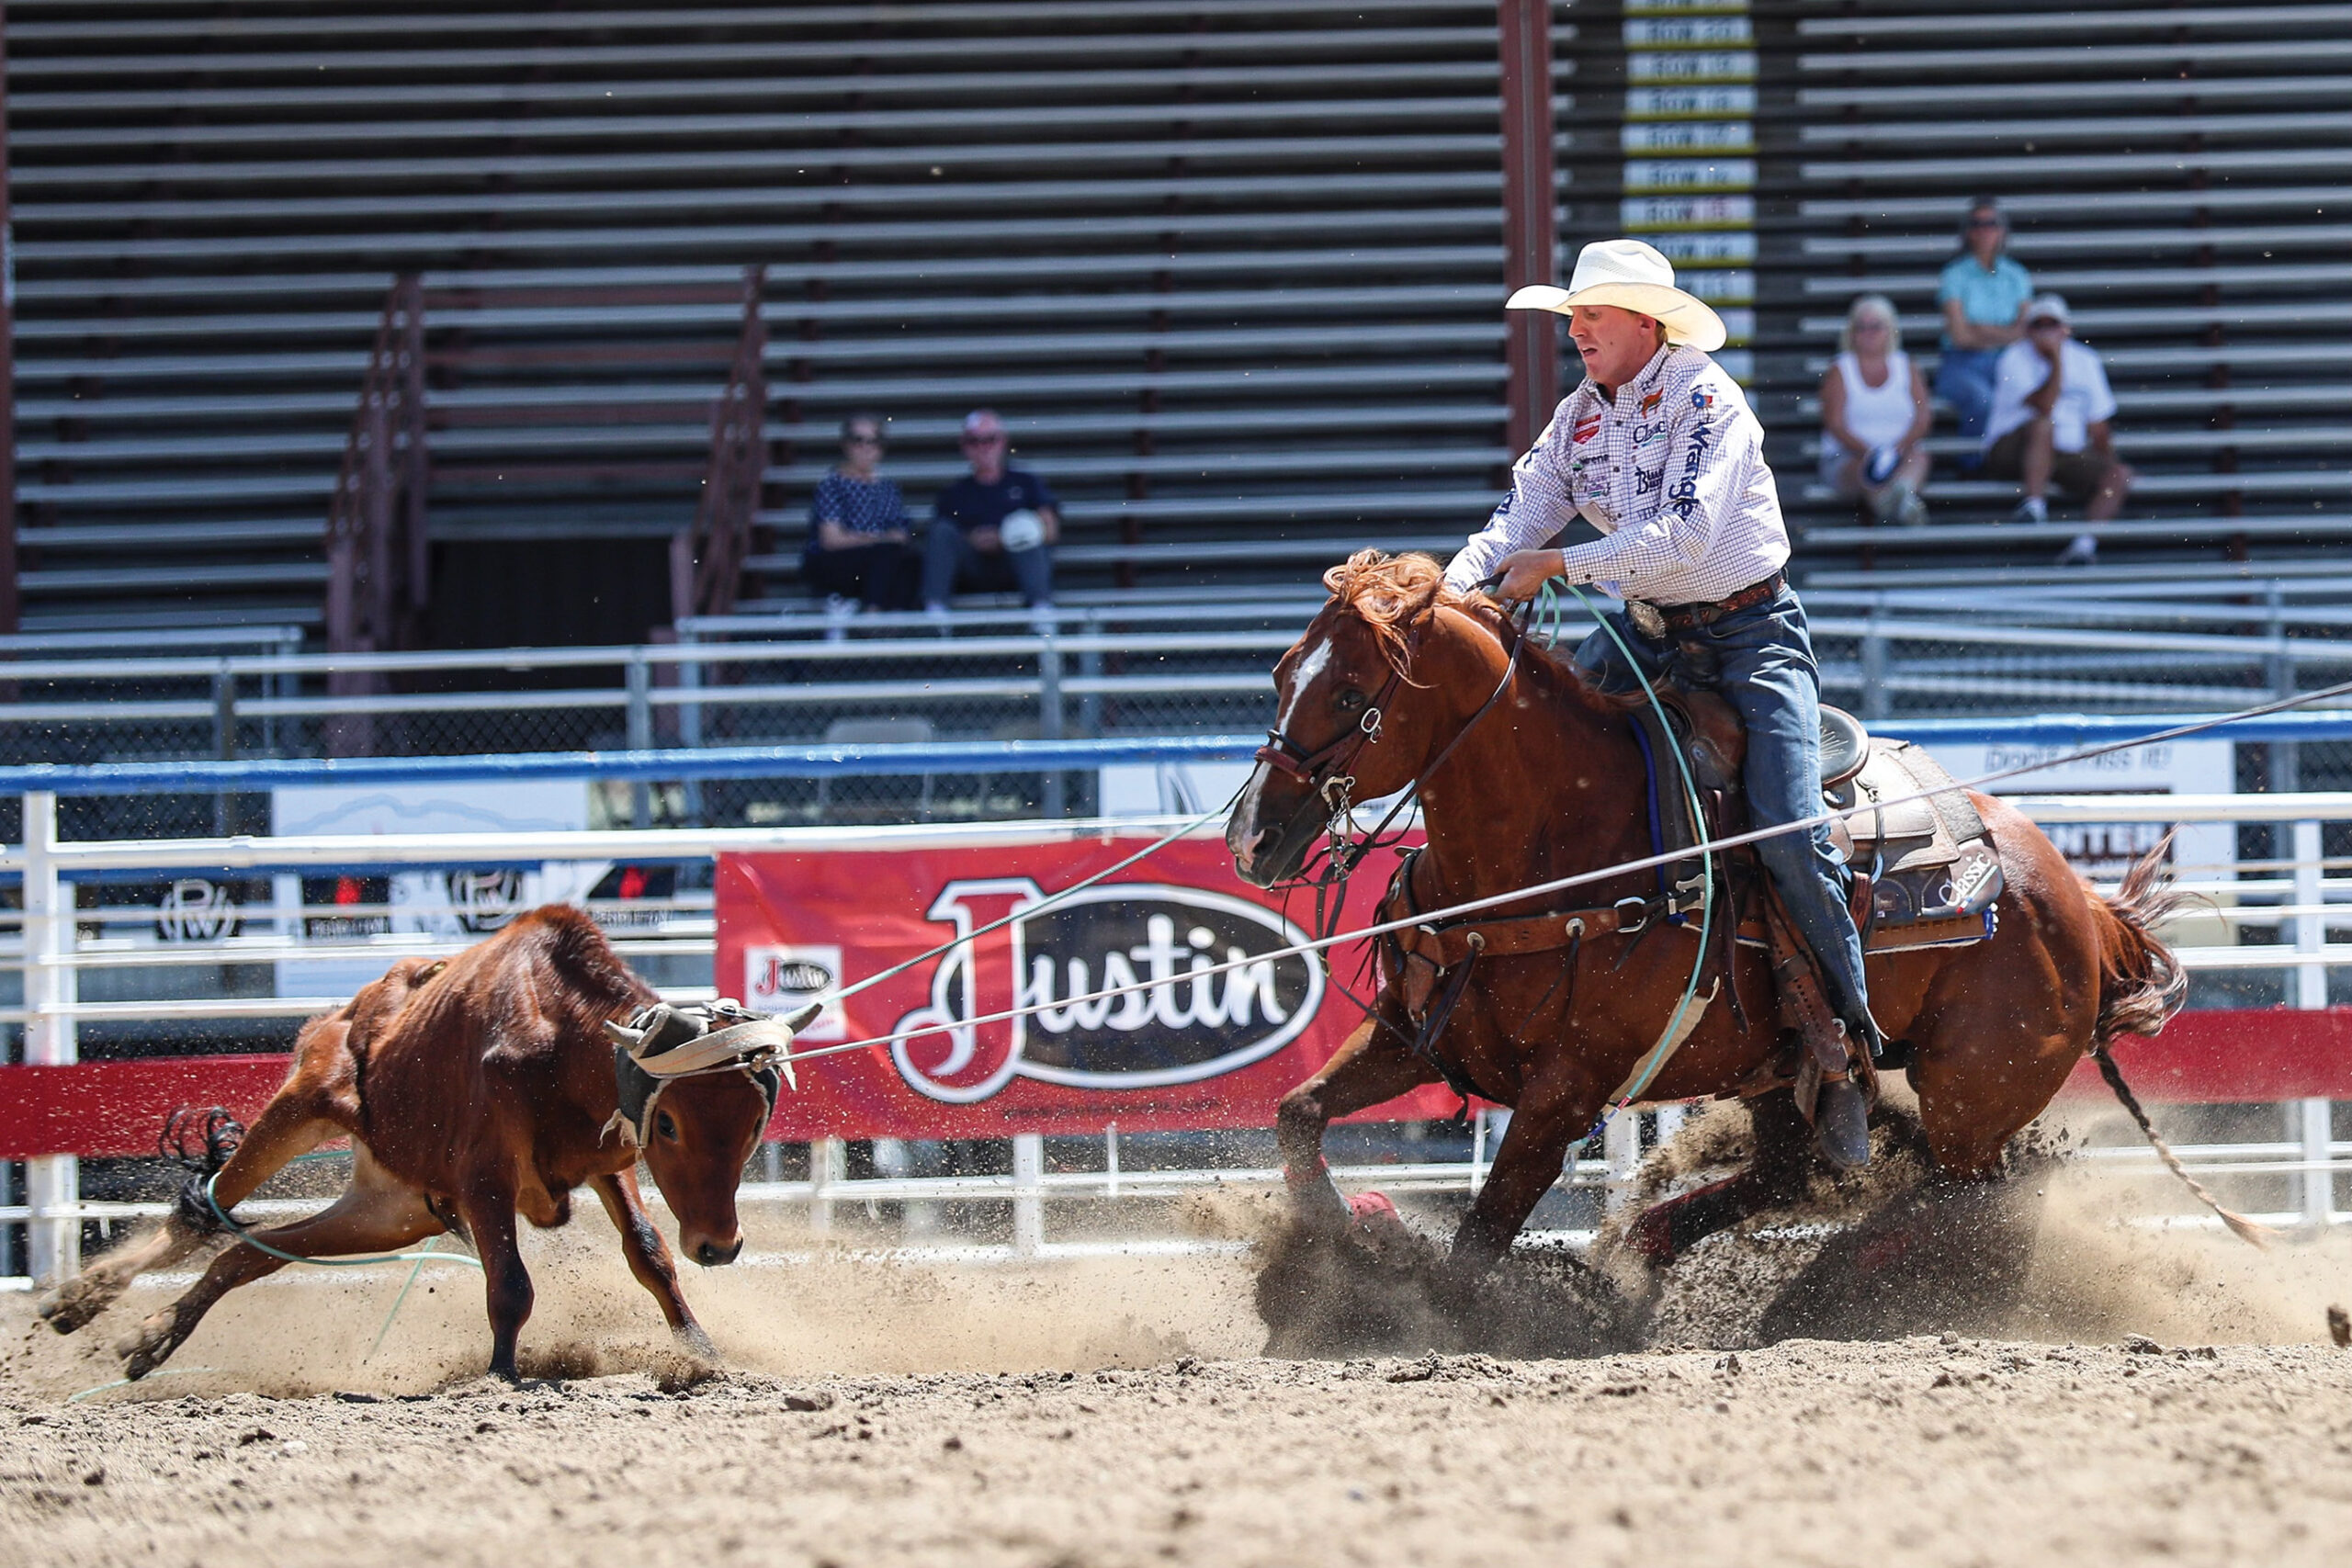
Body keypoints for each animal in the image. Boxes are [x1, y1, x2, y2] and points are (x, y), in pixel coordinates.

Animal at [43, 907, 780, 1382]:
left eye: (752, 1124)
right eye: (669, 1123)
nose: (719, 1245)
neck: (561, 1030)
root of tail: (355, 1006)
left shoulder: (606, 1160)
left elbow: (650, 1255)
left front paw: (703, 1350)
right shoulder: (485, 1177)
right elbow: (510, 1283)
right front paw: (500, 1371)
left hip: (392, 1210)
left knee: (248, 1253)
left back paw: (151, 1335)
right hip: (302, 1106)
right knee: (205, 1205)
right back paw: (82, 1300)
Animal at [1223, 557, 2191, 1279]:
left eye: (1351, 694)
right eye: (1280, 673)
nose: (1250, 835)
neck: (1556, 842)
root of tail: (2083, 905)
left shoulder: (1567, 1091)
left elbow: (1482, 1235)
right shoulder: (1415, 1032)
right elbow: (1298, 1113)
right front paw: (1340, 1240)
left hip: (1974, 1100)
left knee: (1965, 1203)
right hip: (1785, 1069)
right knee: (1799, 1170)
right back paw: (1645, 1253)